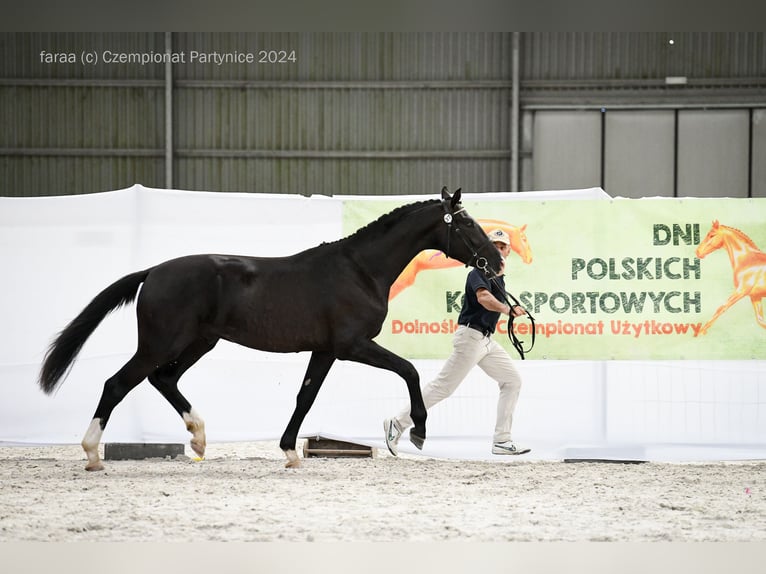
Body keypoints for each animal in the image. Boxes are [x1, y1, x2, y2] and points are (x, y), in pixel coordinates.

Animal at [40, 189, 504, 472]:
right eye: (466, 224)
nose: (496, 263)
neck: (359, 270)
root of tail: (153, 271)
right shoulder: (352, 344)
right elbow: (408, 369)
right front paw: (419, 432)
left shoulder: (325, 350)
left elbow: (305, 396)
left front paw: (289, 452)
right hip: (161, 343)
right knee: (118, 383)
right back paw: (93, 454)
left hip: (199, 342)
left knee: (163, 379)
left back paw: (199, 439)